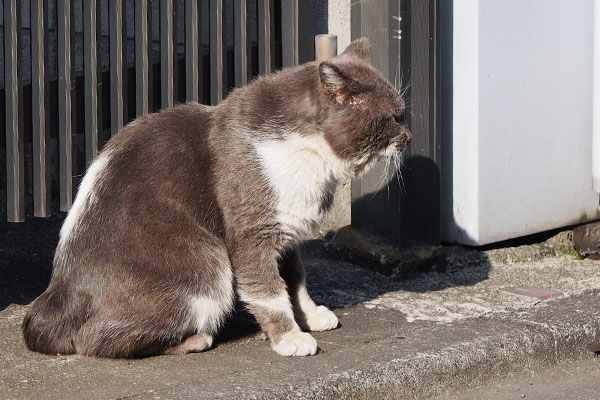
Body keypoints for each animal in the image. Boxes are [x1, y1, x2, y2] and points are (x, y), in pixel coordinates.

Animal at [21, 36, 410, 356]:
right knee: (96, 340)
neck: (316, 161)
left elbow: (295, 279)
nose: (408, 136)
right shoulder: (252, 232)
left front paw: (311, 316)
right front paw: (289, 338)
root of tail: (58, 293)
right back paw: (196, 339)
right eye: (394, 117)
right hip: (206, 266)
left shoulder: (285, 231)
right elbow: (268, 291)